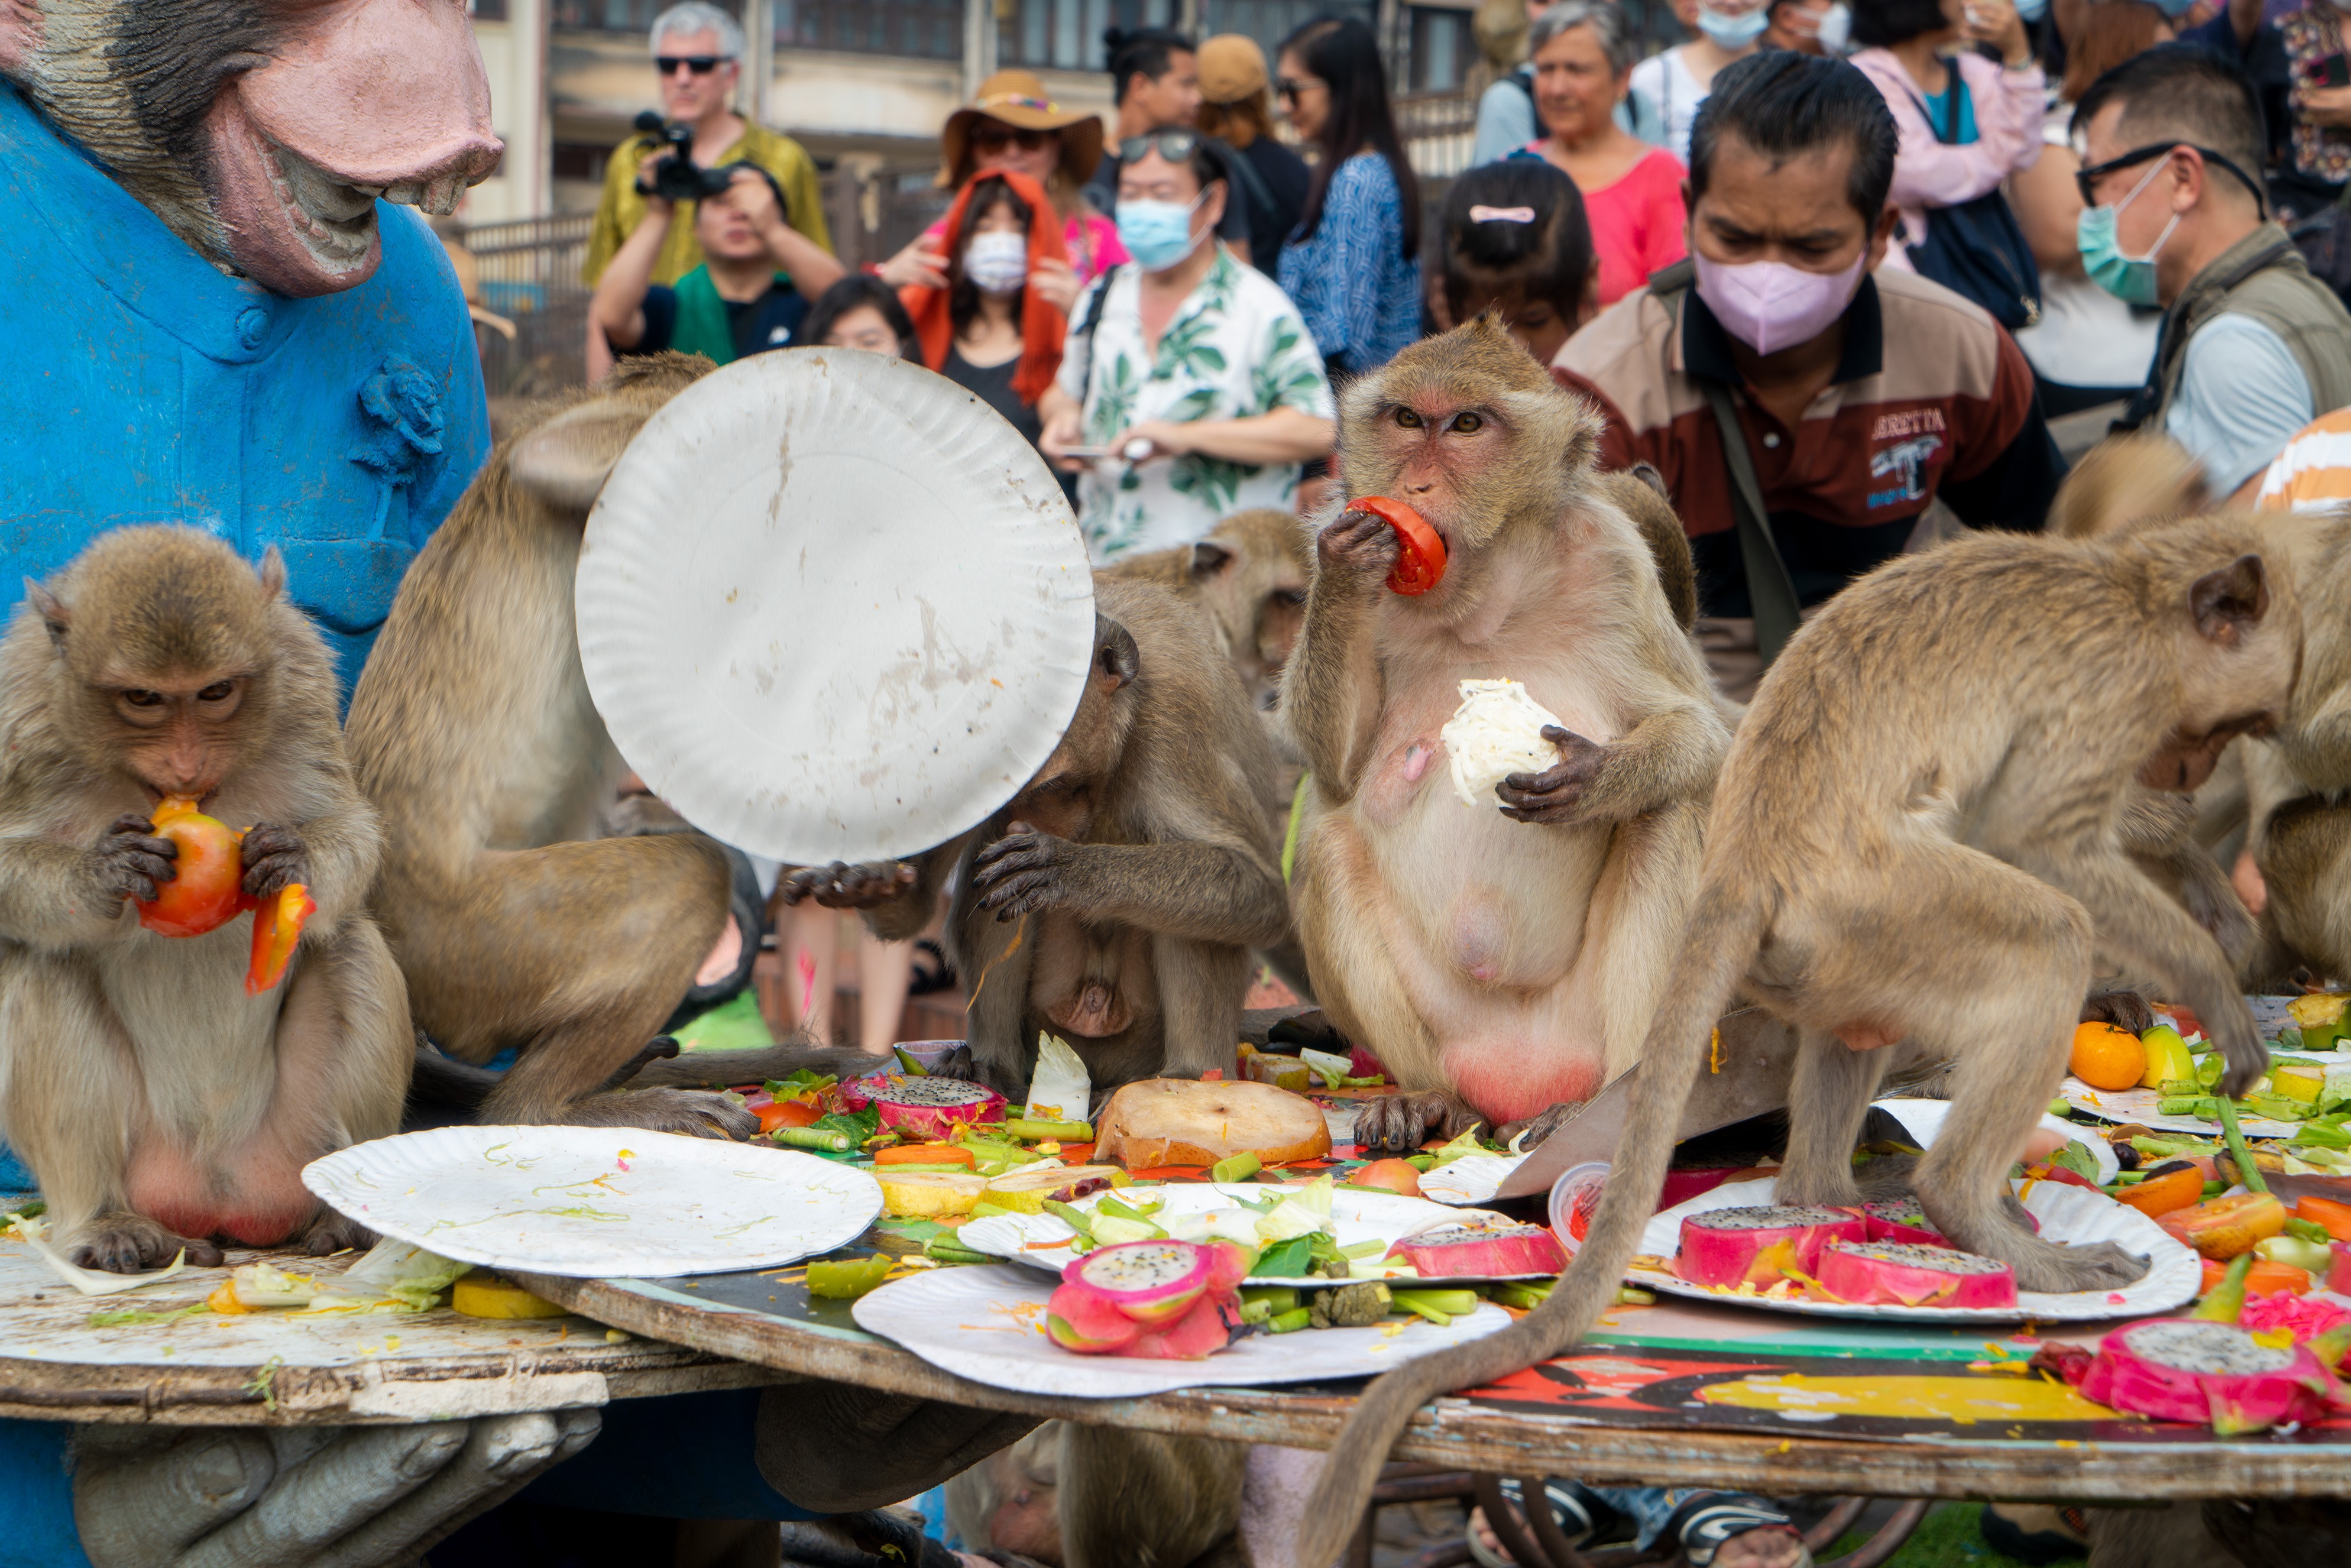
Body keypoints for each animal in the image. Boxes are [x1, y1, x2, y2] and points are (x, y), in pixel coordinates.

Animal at [0, 533, 409, 1269]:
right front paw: (103, 873)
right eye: (144, 698)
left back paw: (349, 1214)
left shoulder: (300, 677)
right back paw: (105, 1221)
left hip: (291, 1141)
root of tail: (216, 1190)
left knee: (350, 944)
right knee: (44, 962)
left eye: (216, 692)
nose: (186, 767)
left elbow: (351, 828)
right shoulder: (21, 707)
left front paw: (291, 858)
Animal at [649, 576, 1288, 1104]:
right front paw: (870, 883)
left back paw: (1188, 1075)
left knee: (1197, 920)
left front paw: (1067, 870)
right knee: (994, 885)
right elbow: (923, 905)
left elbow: (1258, 894)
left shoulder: (1176, 720)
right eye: (1004, 777)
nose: (1038, 820)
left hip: (1136, 1043)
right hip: (1046, 1032)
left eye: (1055, 781)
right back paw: (995, 1069)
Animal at [1288, 319, 1730, 1152]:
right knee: (1328, 849)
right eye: (1407, 421)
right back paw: (1432, 1103)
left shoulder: (1614, 560)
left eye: (1466, 425)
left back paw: (1606, 1110)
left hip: (1583, 1032)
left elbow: (1699, 734)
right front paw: (1347, 561)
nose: (1414, 490)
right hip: (1455, 1032)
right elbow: (1337, 769)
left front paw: (1596, 778)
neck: (1481, 602)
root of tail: (1520, 1078)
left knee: (1668, 816)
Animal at [1288, 521, 2294, 1568]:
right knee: (2046, 936)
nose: (2192, 773)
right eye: (2234, 723)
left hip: (1831, 946)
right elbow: (2051, 842)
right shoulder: (2107, 696)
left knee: (1860, 1022)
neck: (2133, 593)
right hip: (1875, 905)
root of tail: (1743, 867)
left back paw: (1836, 1194)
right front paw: (2211, 975)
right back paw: (1961, 1204)